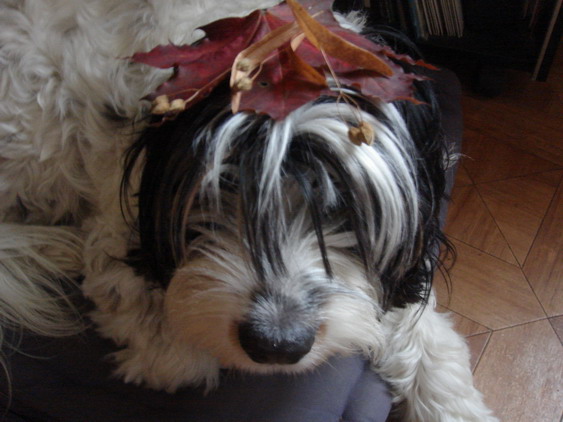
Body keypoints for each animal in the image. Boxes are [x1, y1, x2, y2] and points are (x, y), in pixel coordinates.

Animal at [1, 0, 498, 420]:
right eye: (223, 187)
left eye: (343, 205)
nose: (277, 344)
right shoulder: (115, 225)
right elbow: (167, 352)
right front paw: (168, 346)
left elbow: (413, 319)